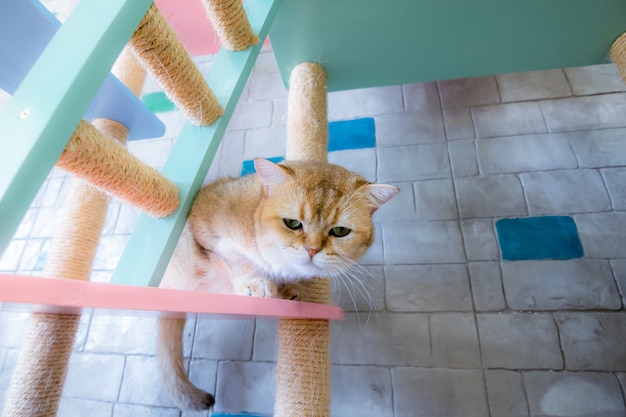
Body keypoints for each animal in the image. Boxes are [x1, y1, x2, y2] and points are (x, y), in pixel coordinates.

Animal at [158, 159, 398, 410]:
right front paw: (255, 283)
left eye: (340, 231)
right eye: (292, 223)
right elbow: (235, 260)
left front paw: (290, 291)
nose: (312, 250)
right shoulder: (205, 230)